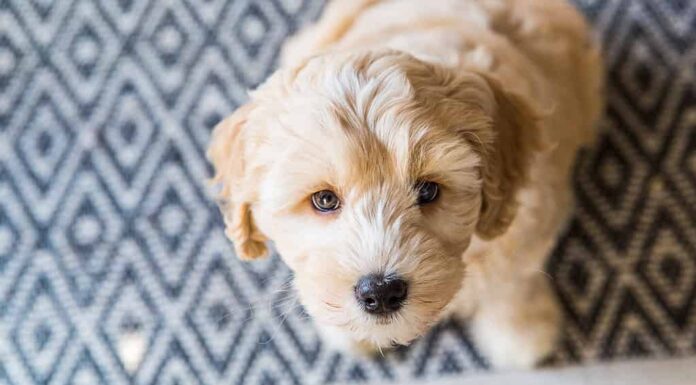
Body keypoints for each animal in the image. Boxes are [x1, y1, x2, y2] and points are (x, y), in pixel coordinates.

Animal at [208, 0, 604, 368]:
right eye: (324, 200)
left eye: (428, 191)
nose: (381, 292)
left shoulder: (530, 221)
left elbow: (511, 282)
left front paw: (520, 333)